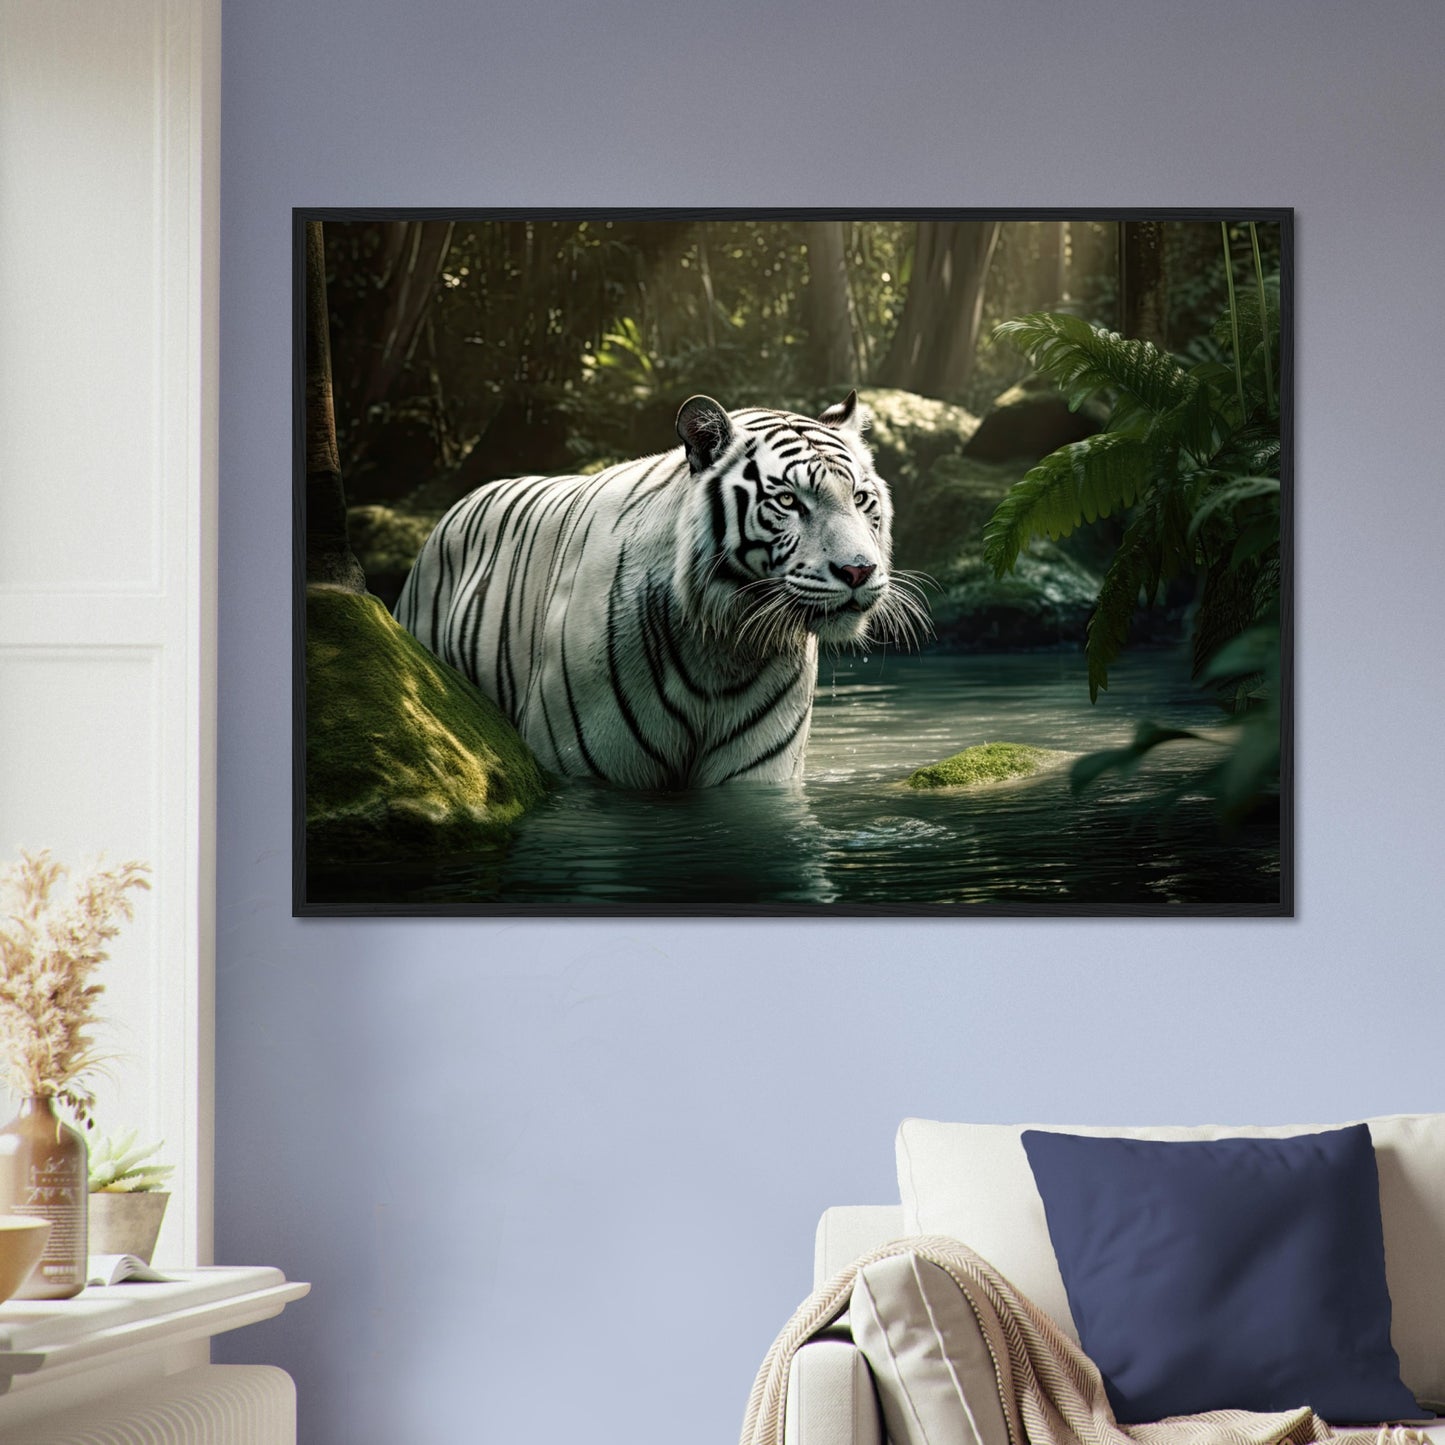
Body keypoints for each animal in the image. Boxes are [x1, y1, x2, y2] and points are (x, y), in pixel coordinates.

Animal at [393, 392, 927, 789]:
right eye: (789, 502)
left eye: (860, 498)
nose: (859, 571)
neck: (724, 647)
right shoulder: (590, 768)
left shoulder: (756, 774)